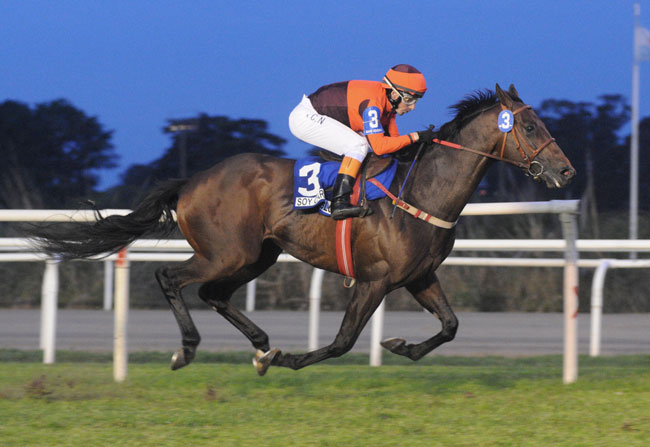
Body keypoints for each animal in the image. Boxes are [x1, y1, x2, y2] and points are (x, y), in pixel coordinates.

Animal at [27, 84, 572, 374]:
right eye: (529, 127)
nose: (565, 172)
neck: (423, 191)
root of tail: (192, 181)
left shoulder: (418, 276)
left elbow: (452, 326)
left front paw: (402, 346)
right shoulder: (375, 279)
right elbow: (343, 341)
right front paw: (292, 360)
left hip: (258, 254)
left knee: (215, 294)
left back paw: (262, 344)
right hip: (225, 252)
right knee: (171, 279)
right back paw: (190, 349)